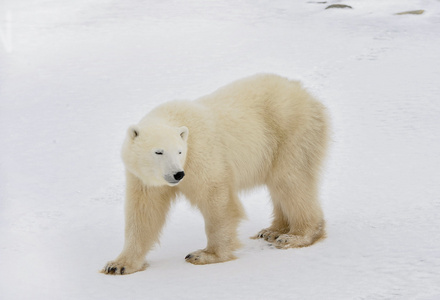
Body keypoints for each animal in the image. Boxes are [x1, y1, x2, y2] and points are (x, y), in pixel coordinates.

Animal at [103, 74, 328, 274]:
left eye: (179, 151)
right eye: (159, 152)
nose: (178, 174)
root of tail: (305, 93)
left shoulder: (200, 153)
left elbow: (216, 198)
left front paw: (205, 254)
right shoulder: (143, 179)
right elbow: (144, 213)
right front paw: (118, 265)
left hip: (291, 132)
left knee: (290, 180)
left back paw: (295, 235)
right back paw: (272, 231)